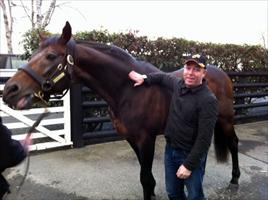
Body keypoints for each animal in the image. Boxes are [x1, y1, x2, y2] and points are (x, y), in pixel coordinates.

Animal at [2, 21, 241, 200]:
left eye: (51, 56)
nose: (10, 90)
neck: (128, 90)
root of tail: (221, 73)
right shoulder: (131, 138)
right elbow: (147, 177)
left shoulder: (146, 139)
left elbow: (145, 178)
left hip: (226, 120)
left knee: (233, 143)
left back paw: (234, 180)